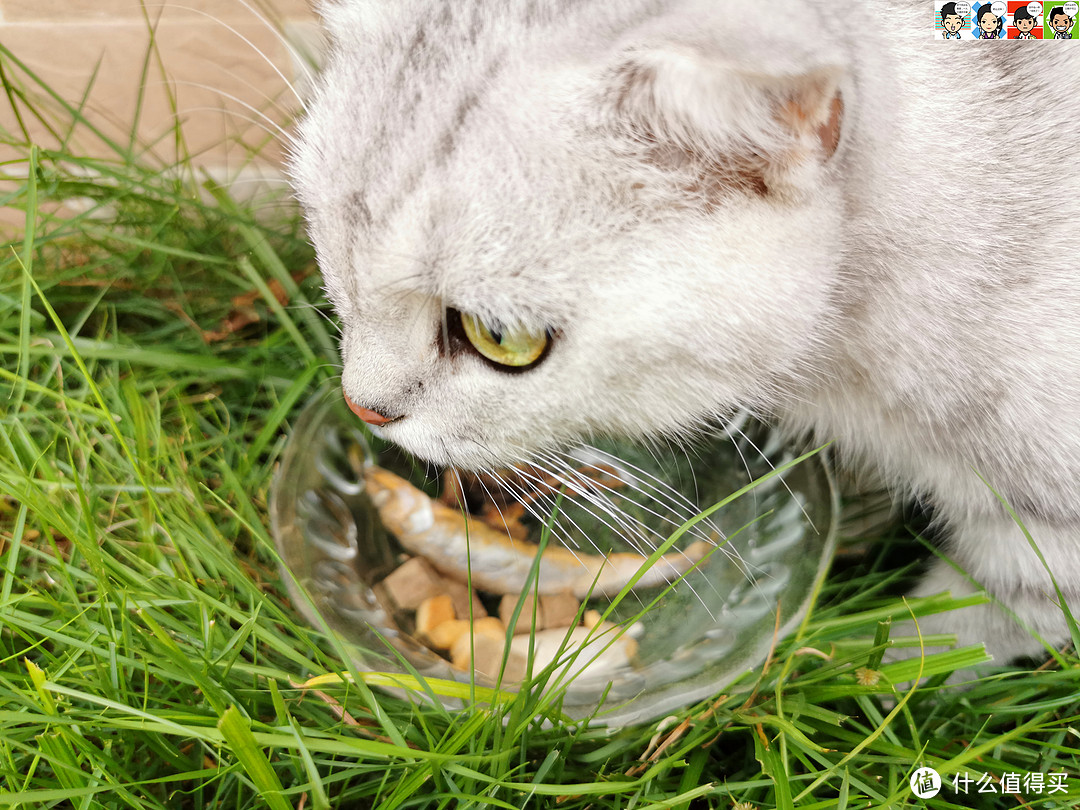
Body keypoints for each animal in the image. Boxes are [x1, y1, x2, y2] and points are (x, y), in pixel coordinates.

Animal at [285, 0, 1080, 669]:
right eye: (332, 257)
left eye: (500, 338)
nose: (364, 408)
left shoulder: (1050, 530)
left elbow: (979, 620)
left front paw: (857, 664)